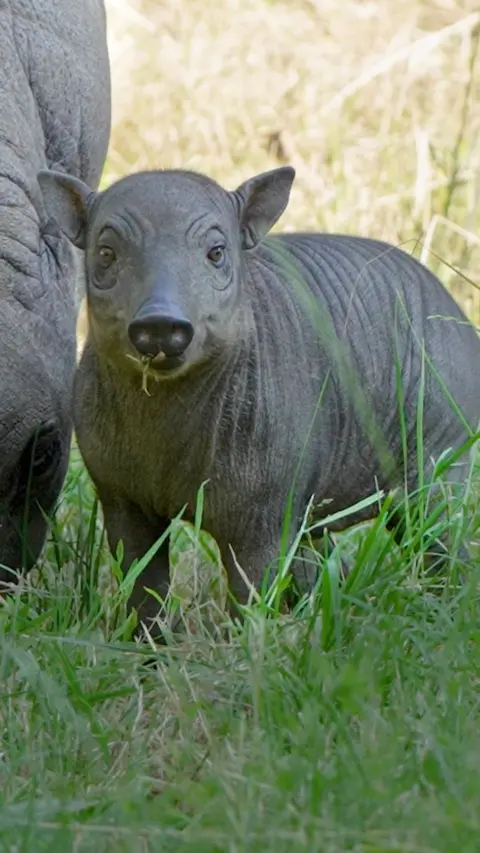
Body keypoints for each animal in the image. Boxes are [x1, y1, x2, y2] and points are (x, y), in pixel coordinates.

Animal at [37, 165, 480, 632]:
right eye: (106, 253)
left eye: (216, 252)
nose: (159, 326)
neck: (165, 409)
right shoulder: (123, 503)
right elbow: (143, 586)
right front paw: (147, 646)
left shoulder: (261, 520)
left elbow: (251, 597)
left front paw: (244, 648)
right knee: (322, 568)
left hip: (436, 466)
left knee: (441, 547)